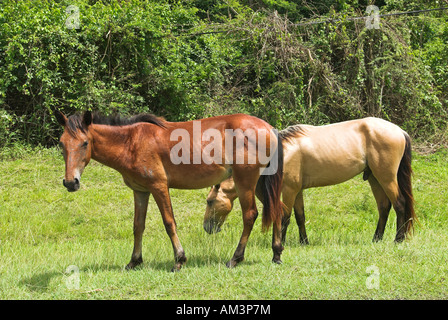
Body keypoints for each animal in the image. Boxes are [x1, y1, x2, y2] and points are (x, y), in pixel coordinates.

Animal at [54, 111, 282, 272]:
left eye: (85, 143)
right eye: (62, 144)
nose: (70, 182)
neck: (130, 142)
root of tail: (269, 127)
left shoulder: (159, 187)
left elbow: (169, 222)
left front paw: (179, 260)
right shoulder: (140, 191)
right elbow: (138, 226)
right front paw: (134, 261)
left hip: (246, 183)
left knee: (250, 215)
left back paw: (235, 258)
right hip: (259, 184)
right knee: (277, 210)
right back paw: (277, 253)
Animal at [205, 117, 414, 245]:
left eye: (209, 201)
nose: (206, 227)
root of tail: (400, 131)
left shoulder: (289, 190)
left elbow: (285, 217)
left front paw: (281, 244)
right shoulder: (297, 191)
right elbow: (300, 217)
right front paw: (304, 242)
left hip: (386, 178)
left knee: (400, 204)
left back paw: (398, 239)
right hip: (374, 178)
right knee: (384, 207)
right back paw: (376, 239)